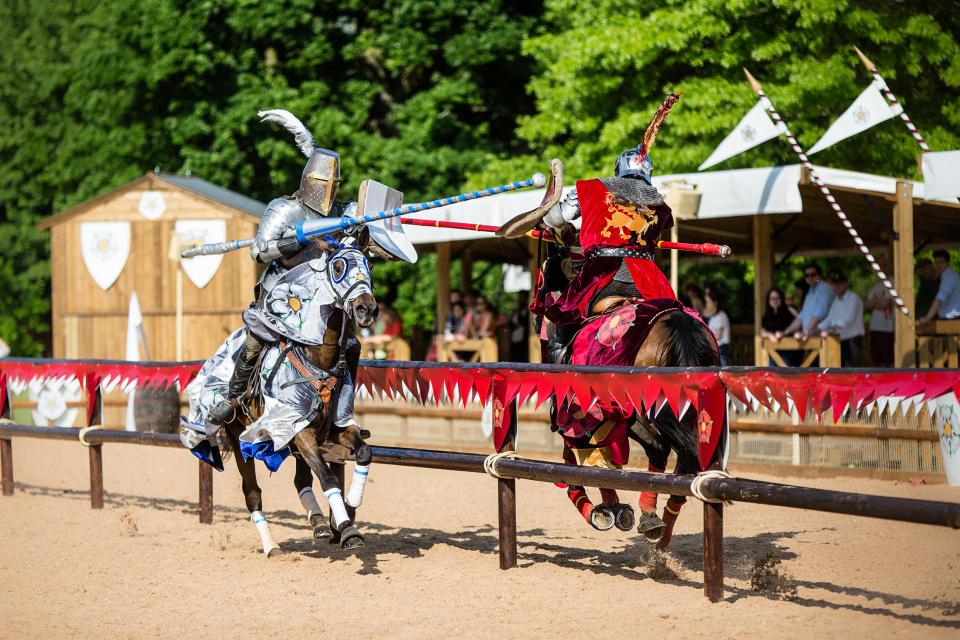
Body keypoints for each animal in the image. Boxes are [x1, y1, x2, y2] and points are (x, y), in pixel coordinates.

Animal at [180, 241, 378, 556]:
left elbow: (363, 452)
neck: (317, 360)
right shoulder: (297, 429)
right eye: (337, 267)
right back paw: (271, 545)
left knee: (301, 480)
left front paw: (349, 510)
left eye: (368, 266)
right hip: (239, 435)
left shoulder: (334, 428)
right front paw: (348, 529)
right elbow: (327, 476)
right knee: (252, 493)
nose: (366, 308)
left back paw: (320, 524)